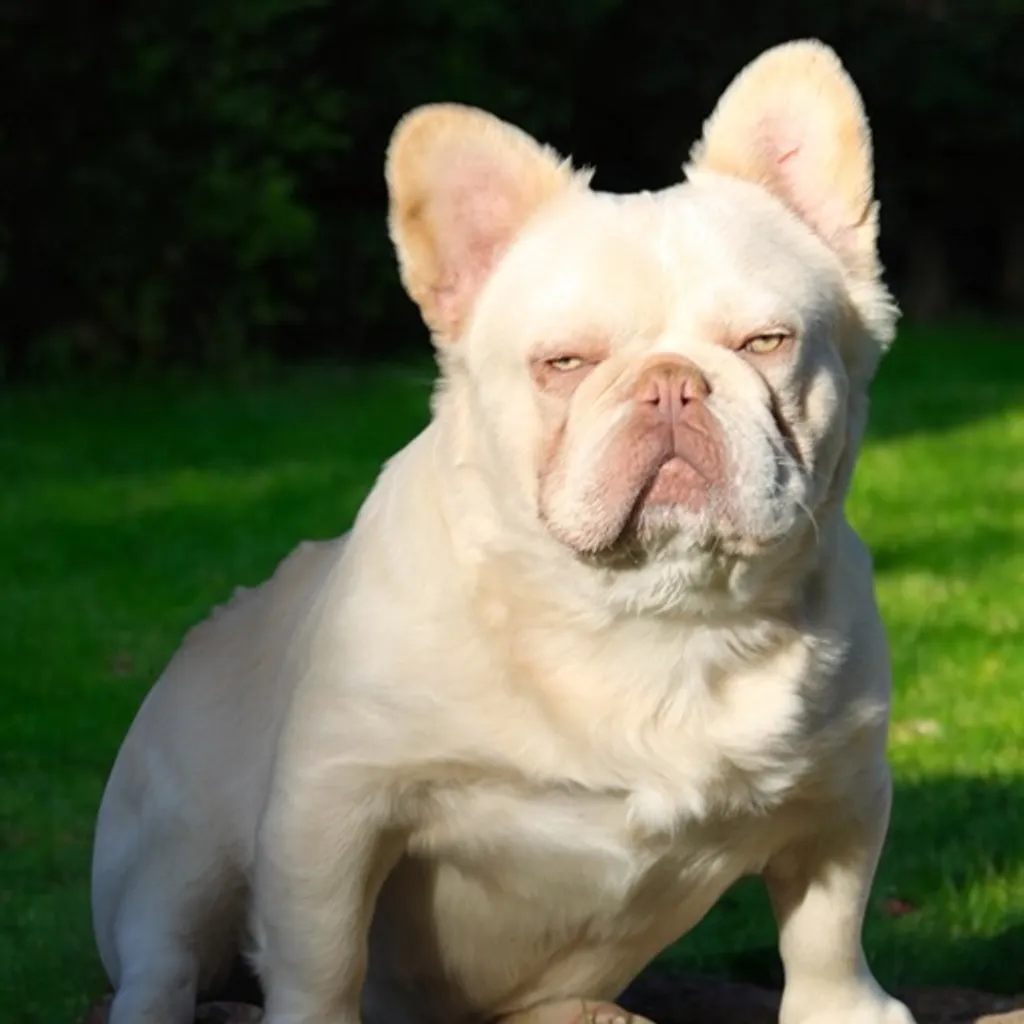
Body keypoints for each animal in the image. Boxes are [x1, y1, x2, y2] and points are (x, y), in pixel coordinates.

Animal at [92, 37, 917, 1024]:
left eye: (765, 343)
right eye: (564, 363)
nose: (672, 383)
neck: (652, 615)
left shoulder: (841, 792)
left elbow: (828, 926)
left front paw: (847, 1009)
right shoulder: (333, 808)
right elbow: (321, 958)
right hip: (175, 857)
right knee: (163, 959)